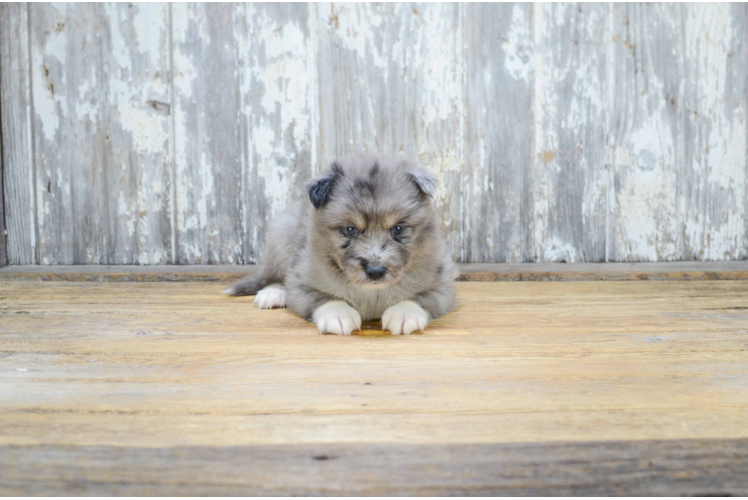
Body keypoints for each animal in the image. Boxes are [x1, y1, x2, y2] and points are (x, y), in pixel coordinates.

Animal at [224, 150, 456, 334]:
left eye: (398, 229)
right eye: (350, 230)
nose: (375, 271)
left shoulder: (443, 284)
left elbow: (421, 298)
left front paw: (404, 314)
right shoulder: (301, 284)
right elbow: (323, 297)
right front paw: (338, 315)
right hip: (281, 235)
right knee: (273, 277)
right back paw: (274, 293)